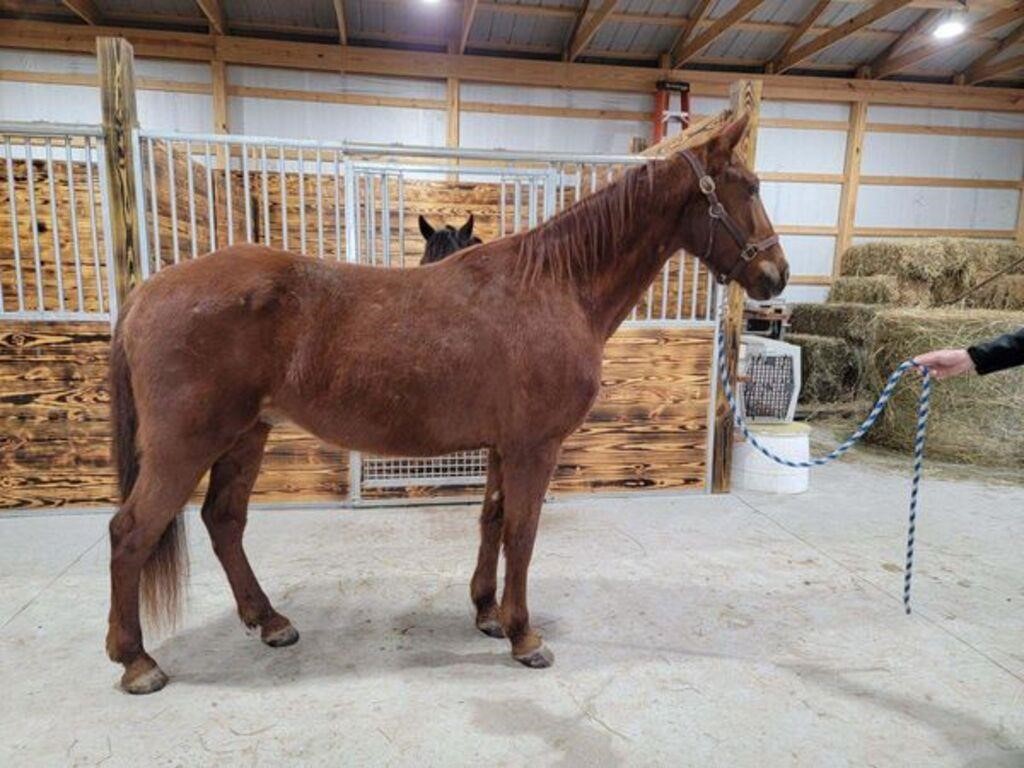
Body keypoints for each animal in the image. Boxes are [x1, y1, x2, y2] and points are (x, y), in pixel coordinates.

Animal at [108, 115, 786, 696]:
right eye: (748, 187)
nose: (776, 275)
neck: (557, 285)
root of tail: (146, 292)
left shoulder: (503, 445)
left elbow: (492, 521)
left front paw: (487, 612)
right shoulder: (535, 447)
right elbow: (523, 532)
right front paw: (524, 635)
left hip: (247, 434)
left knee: (223, 521)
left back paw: (269, 621)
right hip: (186, 444)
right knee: (132, 530)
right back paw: (136, 660)